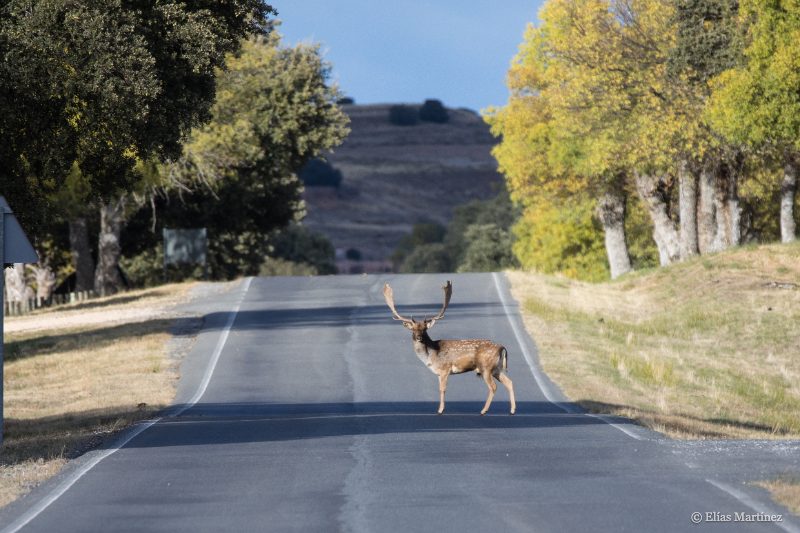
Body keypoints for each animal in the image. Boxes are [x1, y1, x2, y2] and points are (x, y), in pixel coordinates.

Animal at [383, 280, 516, 415]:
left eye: (424, 329)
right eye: (413, 329)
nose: (419, 337)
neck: (431, 356)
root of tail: (502, 348)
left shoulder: (445, 369)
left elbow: (442, 389)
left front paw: (440, 410)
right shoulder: (438, 373)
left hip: (486, 367)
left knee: (493, 387)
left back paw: (484, 410)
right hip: (497, 368)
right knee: (509, 382)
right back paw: (512, 410)